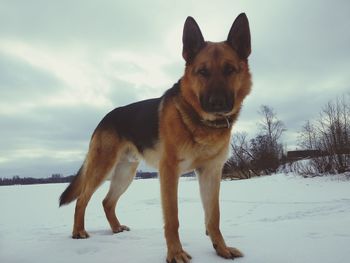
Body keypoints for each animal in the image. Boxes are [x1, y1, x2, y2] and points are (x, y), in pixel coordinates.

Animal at [60, 13, 252, 262]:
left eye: (230, 70)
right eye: (203, 72)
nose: (217, 103)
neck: (201, 122)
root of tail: (105, 117)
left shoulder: (211, 172)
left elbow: (214, 216)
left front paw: (221, 249)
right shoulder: (169, 171)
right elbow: (173, 218)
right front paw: (175, 253)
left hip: (125, 173)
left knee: (107, 202)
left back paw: (116, 228)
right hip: (102, 167)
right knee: (82, 199)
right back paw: (78, 231)